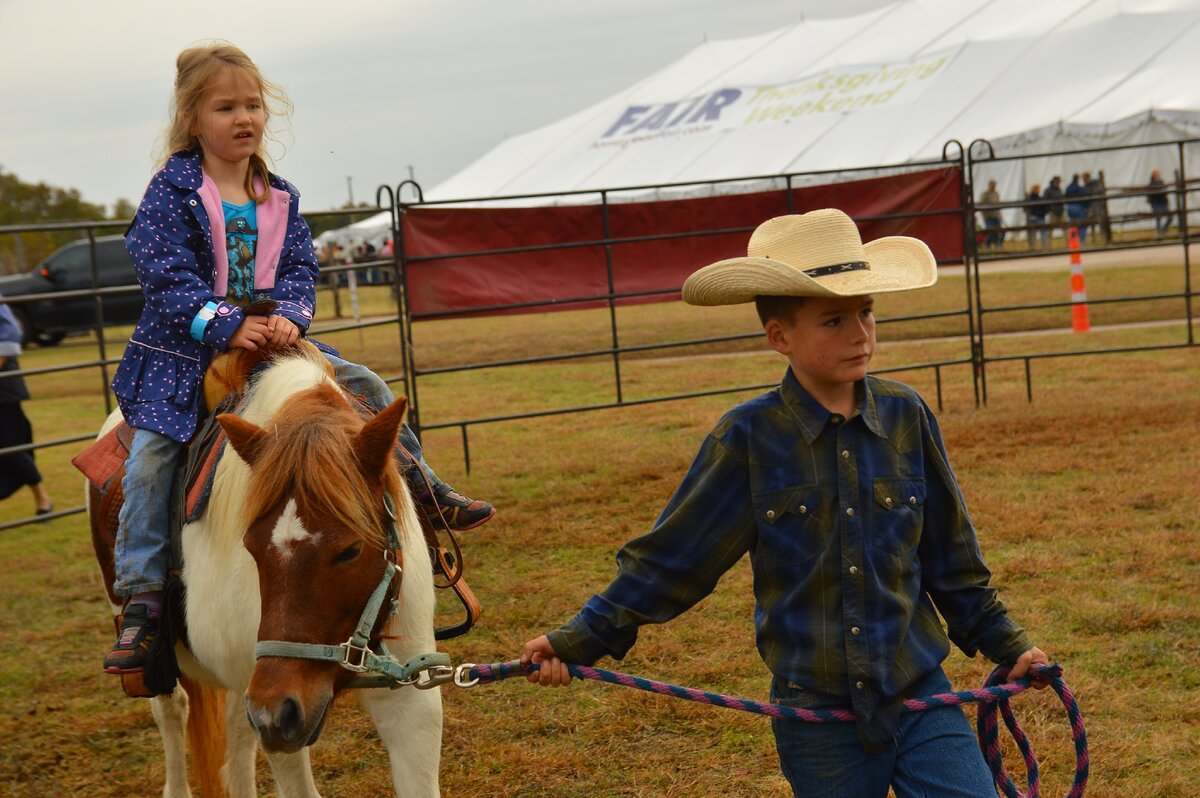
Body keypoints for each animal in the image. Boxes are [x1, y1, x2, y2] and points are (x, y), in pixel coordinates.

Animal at [91, 348, 441, 796]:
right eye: (250, 546)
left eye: (351, 550)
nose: (279, 714)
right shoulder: (272, 708)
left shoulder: (410, 696)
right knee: (174, 712)